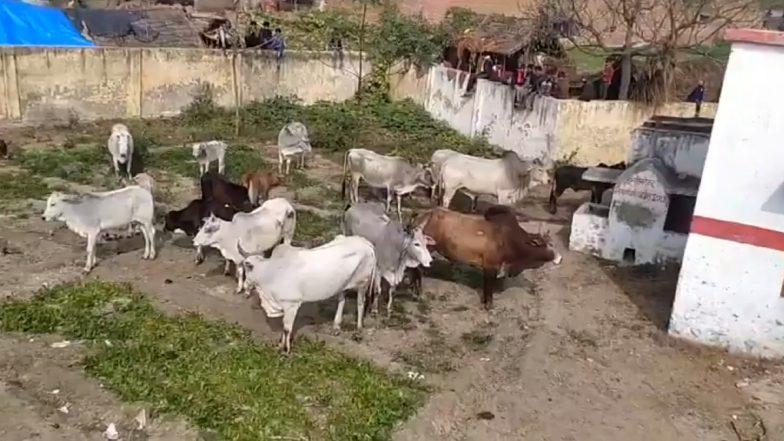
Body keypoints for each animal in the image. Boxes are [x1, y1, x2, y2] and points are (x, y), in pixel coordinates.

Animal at [239, 235, 380, 352]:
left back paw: (359, 329)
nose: (245, 286)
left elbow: (287, 328)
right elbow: (284, 327)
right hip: (343, 284)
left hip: (362, 283)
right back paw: (336, 327)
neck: (270, 272)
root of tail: (366, 242)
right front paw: (280, 345)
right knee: (341, 300)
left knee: (360, 303)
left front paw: (286, 349)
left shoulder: (292, 304)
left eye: (247, 266)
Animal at [414, 205, 560, 308]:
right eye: (549, 245)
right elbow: (488, 287)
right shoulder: (490, 266)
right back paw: (419, 293)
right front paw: (489, 305)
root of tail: (421, 216)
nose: (560, 258)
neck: (509, 240)